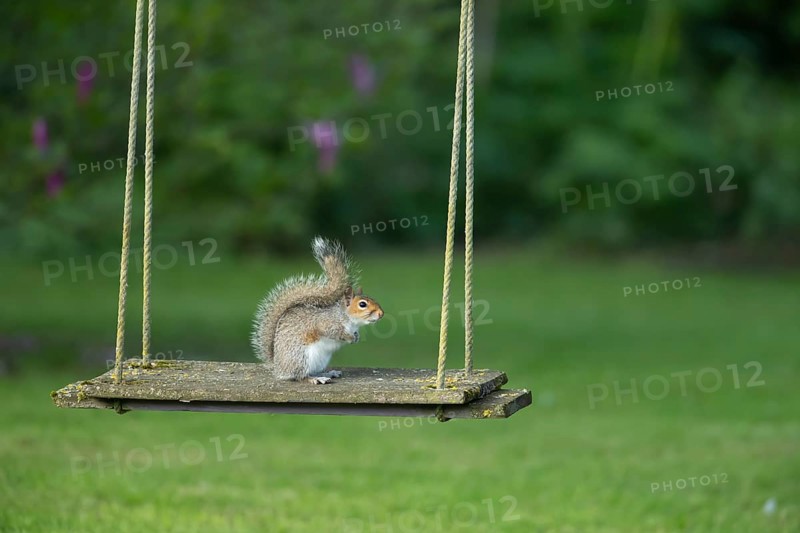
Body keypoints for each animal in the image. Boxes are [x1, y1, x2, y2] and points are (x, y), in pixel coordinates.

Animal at [250, 236, 384, 384]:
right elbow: (332, 332)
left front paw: (357, 337)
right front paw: (349, 337)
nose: (381, 314)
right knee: (300, 376)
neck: (348, 319)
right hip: (301, 358)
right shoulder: (327, 323)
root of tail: (278, 367)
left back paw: (328, 373)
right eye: (362, 304)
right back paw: (316, 378)